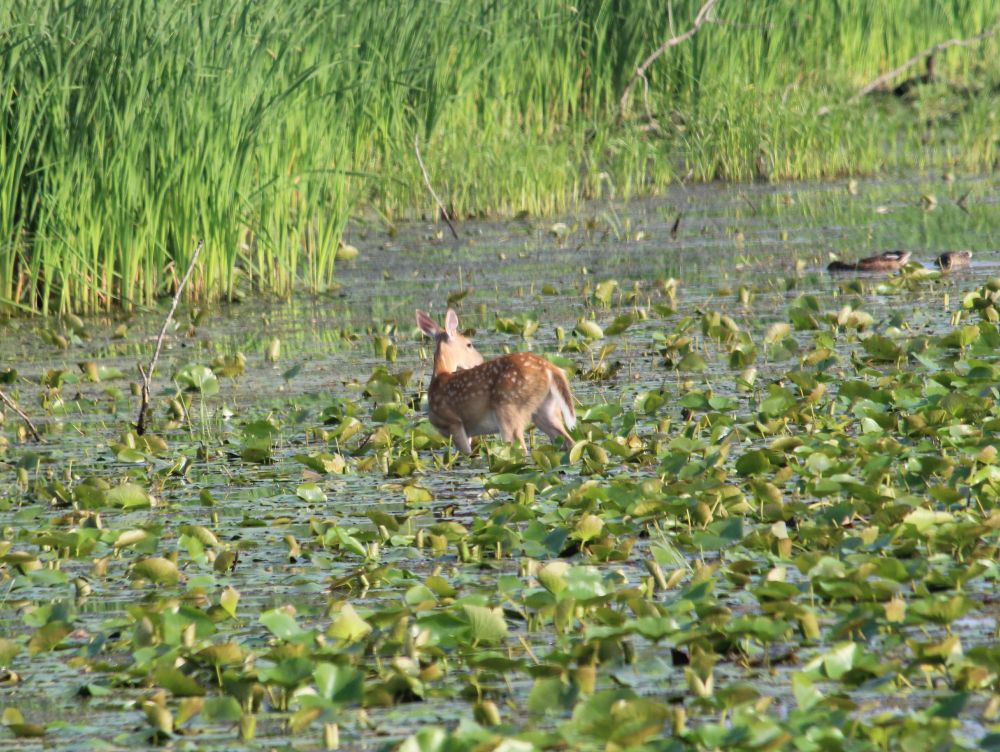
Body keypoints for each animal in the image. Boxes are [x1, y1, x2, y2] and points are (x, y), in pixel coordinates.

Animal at [416, 308, 576, 454]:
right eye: (469, 344)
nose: (480, 360)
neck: (439, 377)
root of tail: (551, 368)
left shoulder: (453, 422)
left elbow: (466, 454)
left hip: (509, 408)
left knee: (521, 448)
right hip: (547, 410)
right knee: (570, 441)